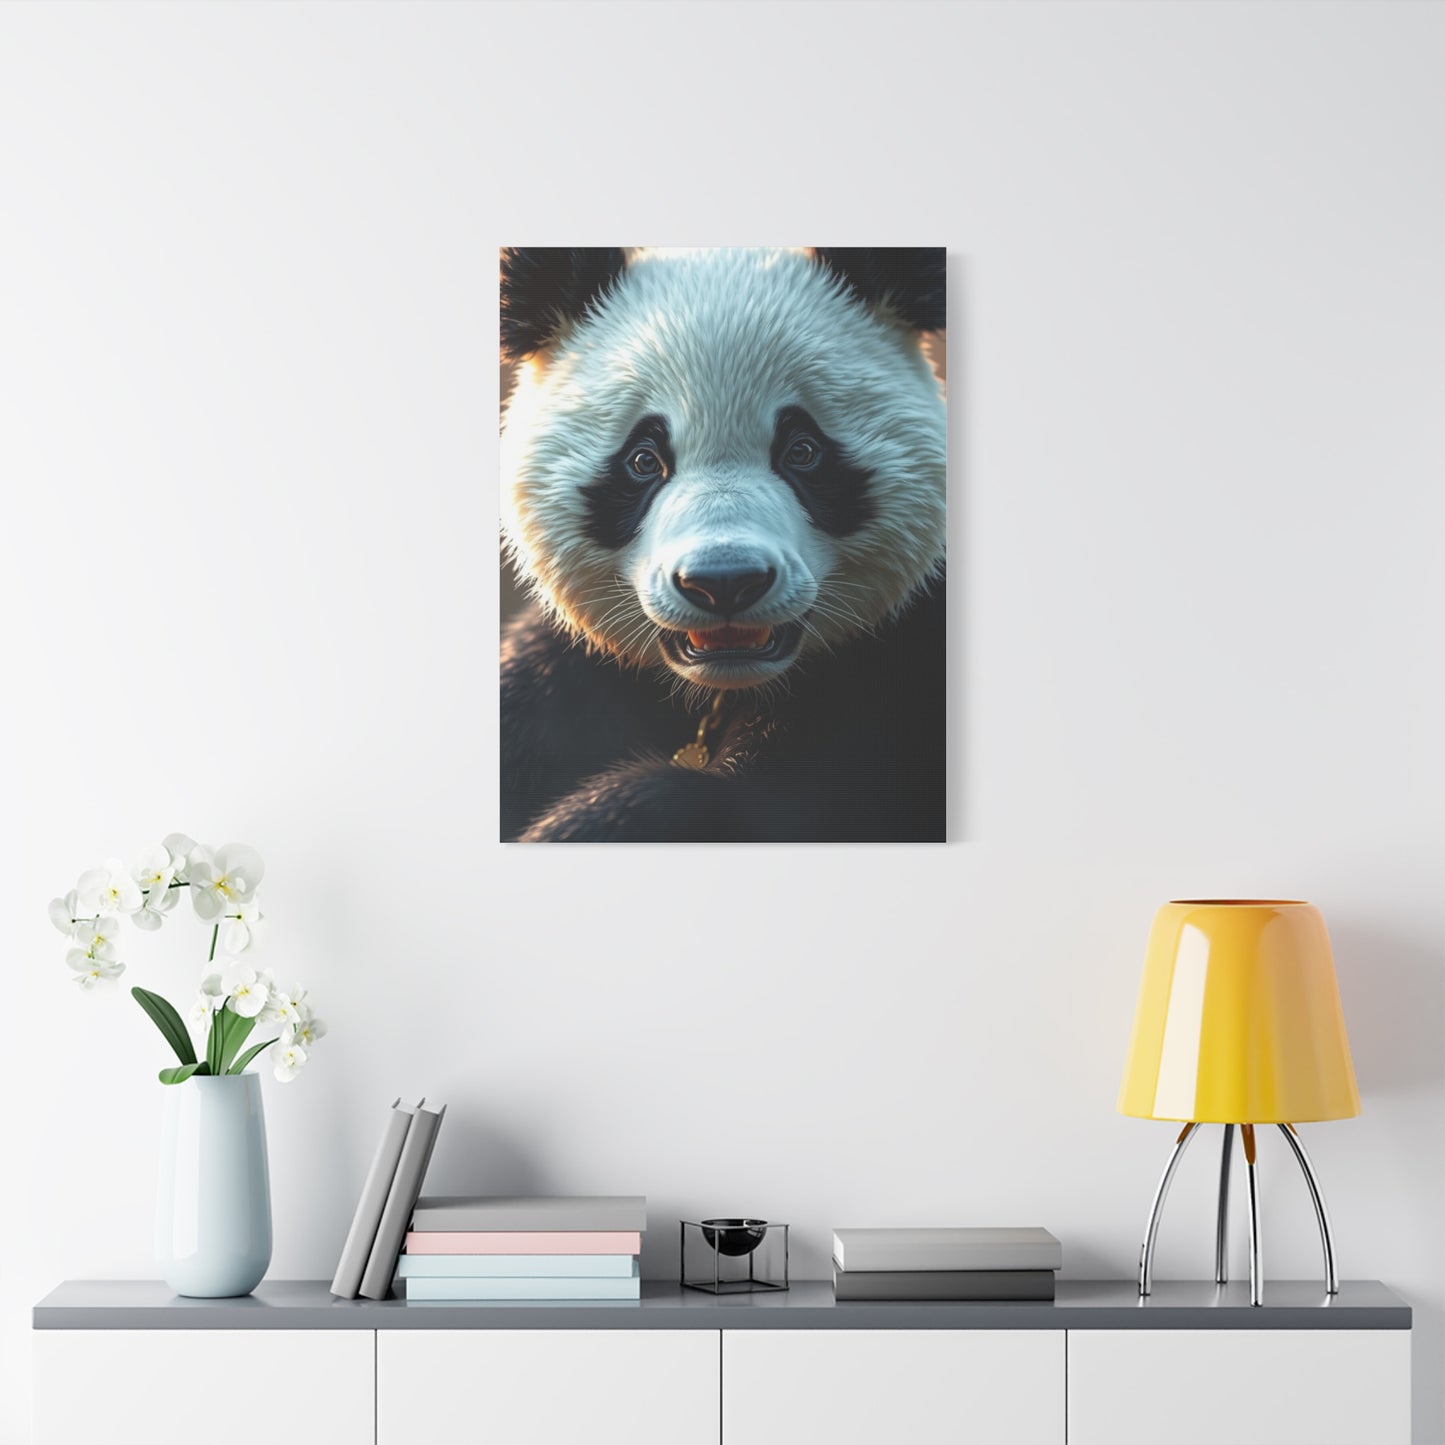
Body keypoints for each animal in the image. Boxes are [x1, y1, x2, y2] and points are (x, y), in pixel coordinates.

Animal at [500, 246, 947, 843]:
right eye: (643, 460)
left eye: (802, 450)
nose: (725, 582)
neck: (723, 687)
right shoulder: (569, 679)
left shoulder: (901, 681)